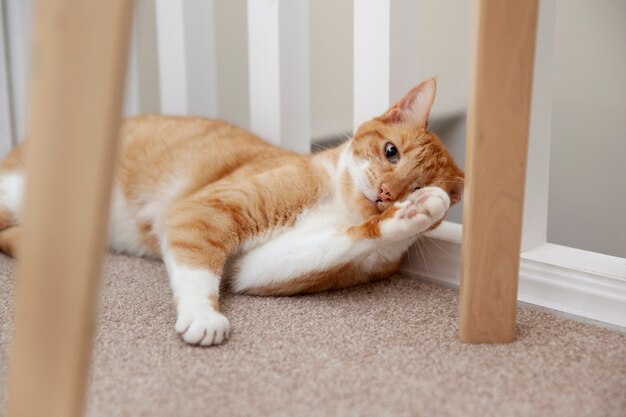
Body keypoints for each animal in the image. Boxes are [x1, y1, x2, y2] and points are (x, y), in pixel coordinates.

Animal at [0, 77, 458, 344]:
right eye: (391, 152)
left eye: (417, 185)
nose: (386, 194)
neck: (339, 204)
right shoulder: (203, 210)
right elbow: (197, 273)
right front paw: (203, 315)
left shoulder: (258, 267)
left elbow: (355, 238)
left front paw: (416, 213)